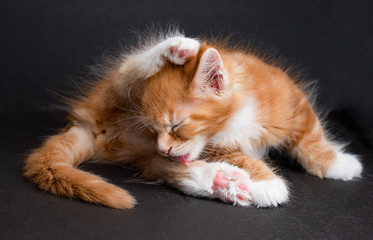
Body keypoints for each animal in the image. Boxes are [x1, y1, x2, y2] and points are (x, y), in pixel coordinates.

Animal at [22, 31, 360, 208]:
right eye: (151, 129)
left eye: (175, 126)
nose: (163, 146)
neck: (236, 115)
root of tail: (90, 125)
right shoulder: (220, 146)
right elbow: (246, 158)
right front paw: (268, 184)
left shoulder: (292, 100)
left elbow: (312, 136)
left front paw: (338, 164)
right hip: (114, 95)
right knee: (131, 70)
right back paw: (178, 47)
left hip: (138, 152)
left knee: (164, 168)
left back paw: (223, 183)